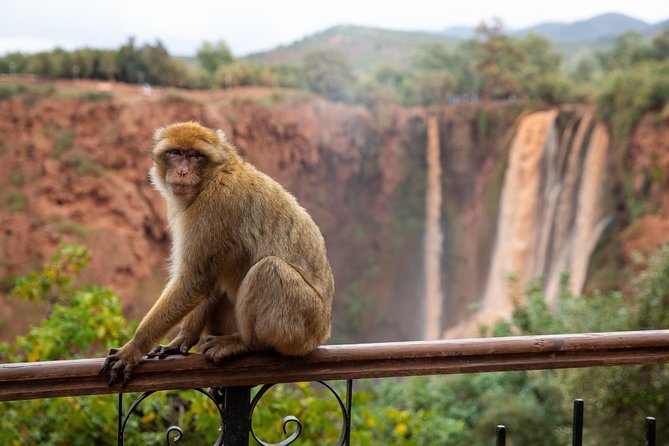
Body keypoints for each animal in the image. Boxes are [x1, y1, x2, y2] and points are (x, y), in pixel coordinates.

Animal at [99, 120, 334, 386]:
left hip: (304, 325)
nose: (182, 172)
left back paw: (247, 344)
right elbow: (208, 279)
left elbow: (195, 279)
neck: (214, 175)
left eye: (195, 155)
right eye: (176, 153)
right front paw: (183, 338)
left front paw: (133, 348)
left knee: (268, 269)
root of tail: (322, 332)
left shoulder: (216, 203)